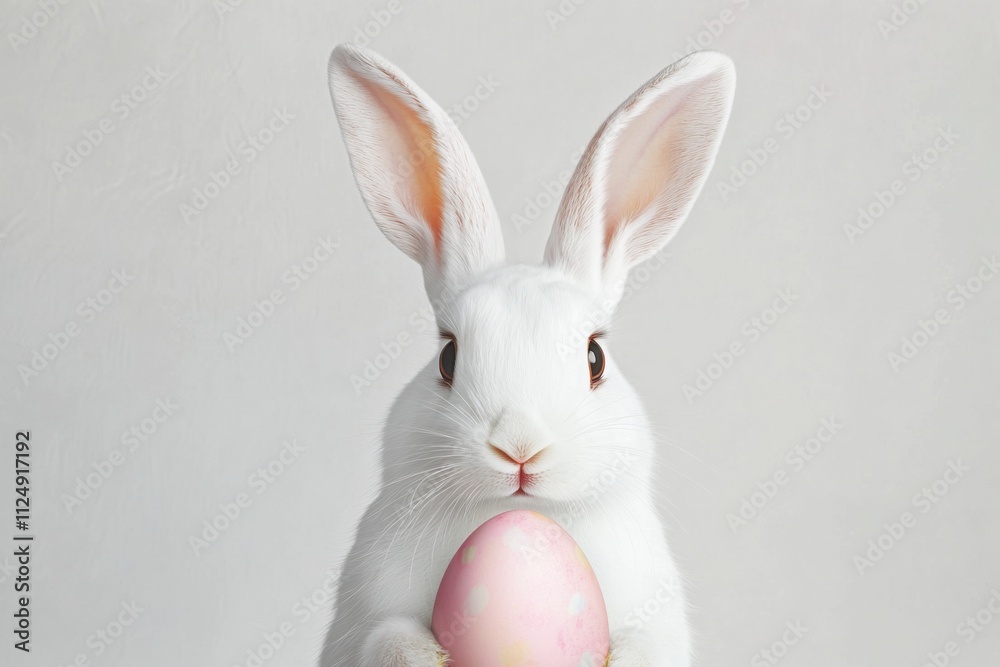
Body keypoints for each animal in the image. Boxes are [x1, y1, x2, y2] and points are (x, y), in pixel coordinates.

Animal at [321, 43, 735, 667]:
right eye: (448, 358)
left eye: (594, 358)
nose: (520, 446)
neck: (515, 516)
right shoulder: (363, 615)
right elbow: (386, 638)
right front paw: (426, 655)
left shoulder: (659, 619)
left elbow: (648, 644)